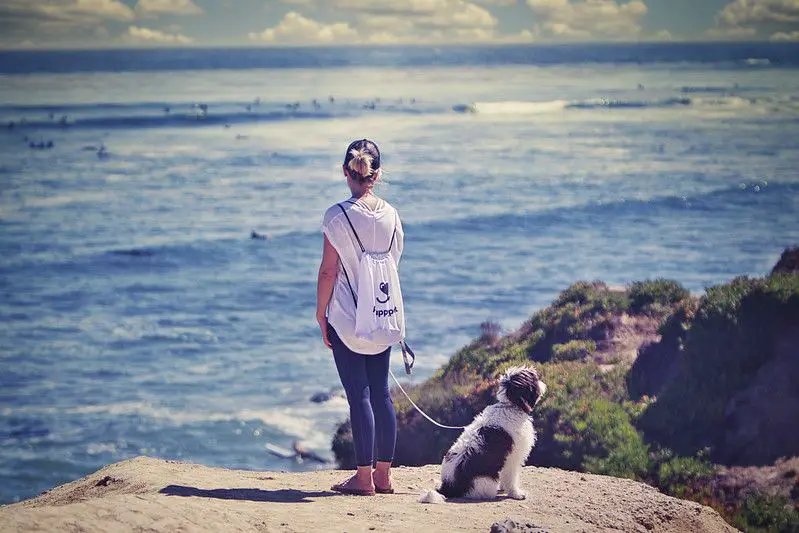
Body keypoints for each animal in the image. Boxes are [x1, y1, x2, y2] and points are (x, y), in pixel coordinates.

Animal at [418, 366, 544, 502]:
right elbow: (511, 477)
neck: (510, 406)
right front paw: (516, 493)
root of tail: (448, 487)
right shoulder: (513, 457)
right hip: (486, 481)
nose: (543, 384)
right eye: (534, 379)